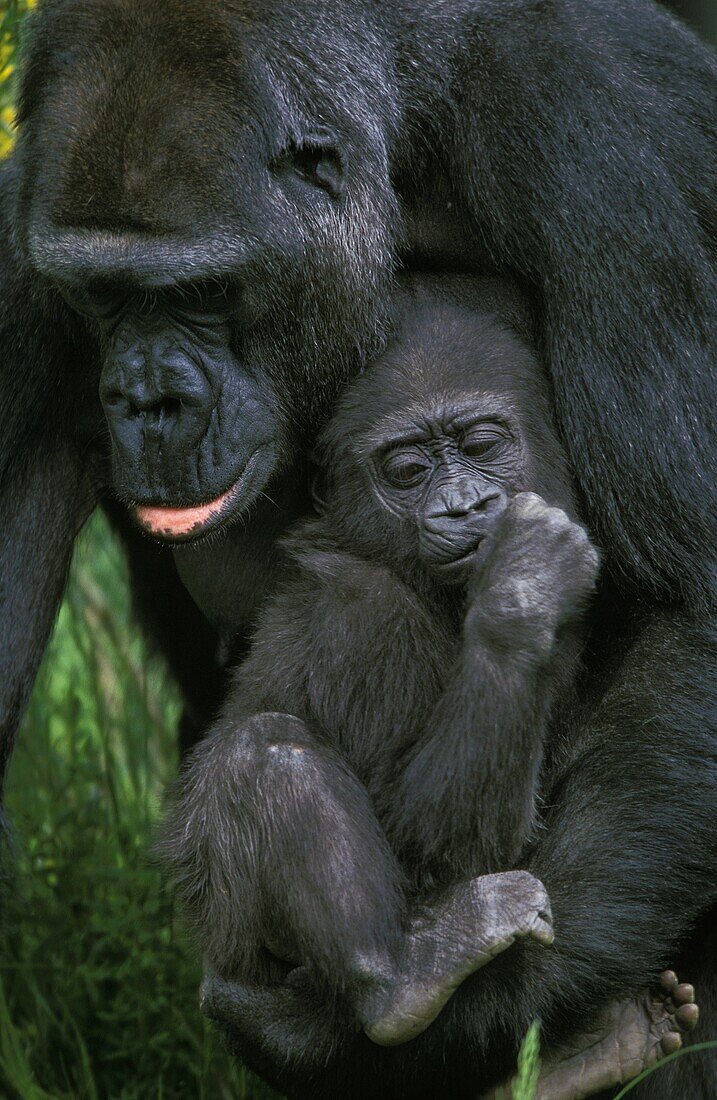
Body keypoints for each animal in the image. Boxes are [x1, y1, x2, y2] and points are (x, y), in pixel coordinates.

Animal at [160, 275, 598, 1047]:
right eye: (408, 471)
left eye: (482, 443)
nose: (462, 506)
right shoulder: (361, 622)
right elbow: (426, 831)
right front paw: (522, 590)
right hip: (237, 945)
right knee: (264, 755)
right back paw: (404, 978)